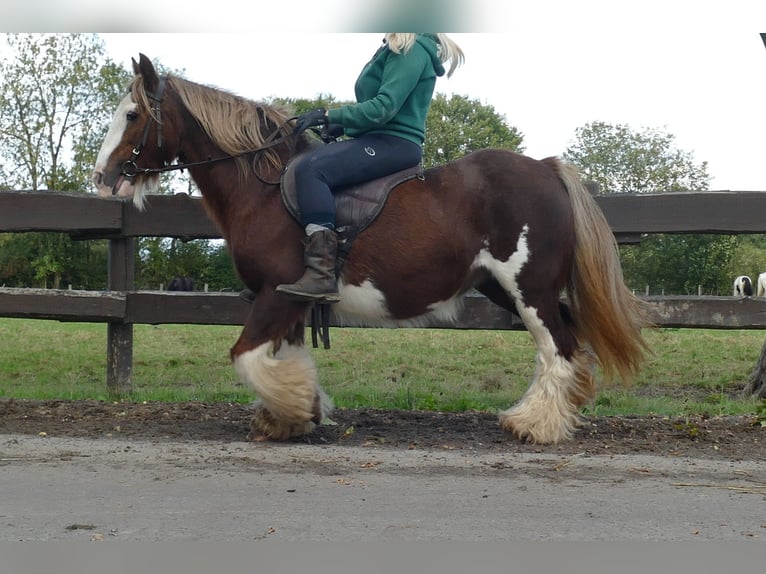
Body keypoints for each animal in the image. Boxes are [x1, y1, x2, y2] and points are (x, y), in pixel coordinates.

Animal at [93, 55, 652, 446]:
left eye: (132, 114)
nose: (102, 177)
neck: (264, 187)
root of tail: (547, 169)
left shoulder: (276, 294)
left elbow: (247, 357)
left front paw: (295, 410)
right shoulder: (291, 302)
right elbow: (282, 357)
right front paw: (290, 417)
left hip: (527, 287)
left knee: (558, 347)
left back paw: (534, 424)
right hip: (506, 287)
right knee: (567, 341)